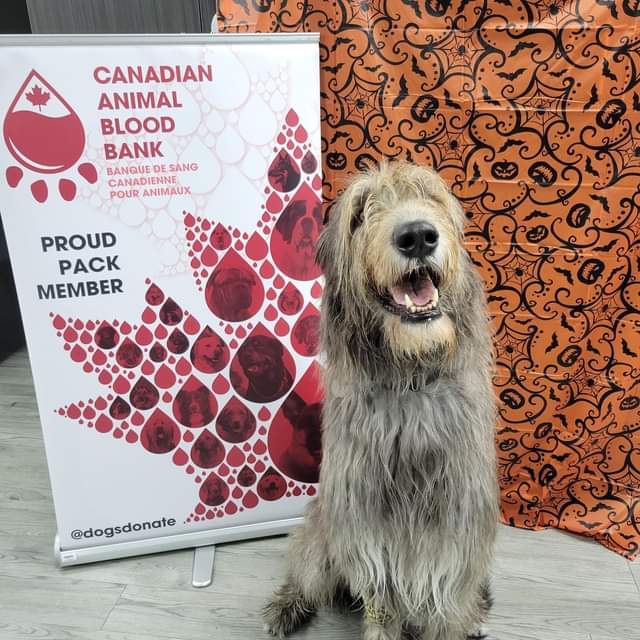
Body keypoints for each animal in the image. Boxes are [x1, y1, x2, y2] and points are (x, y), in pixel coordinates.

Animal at [262, 161, 498, 640]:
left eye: (431, 196)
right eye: (358, 214)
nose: (418, 235)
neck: (411, 380)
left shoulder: (453, 553)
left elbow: (449, 611)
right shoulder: (371, 546)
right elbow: (380, 610)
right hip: (323, 532)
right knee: (307, 569)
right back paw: (287, 605)